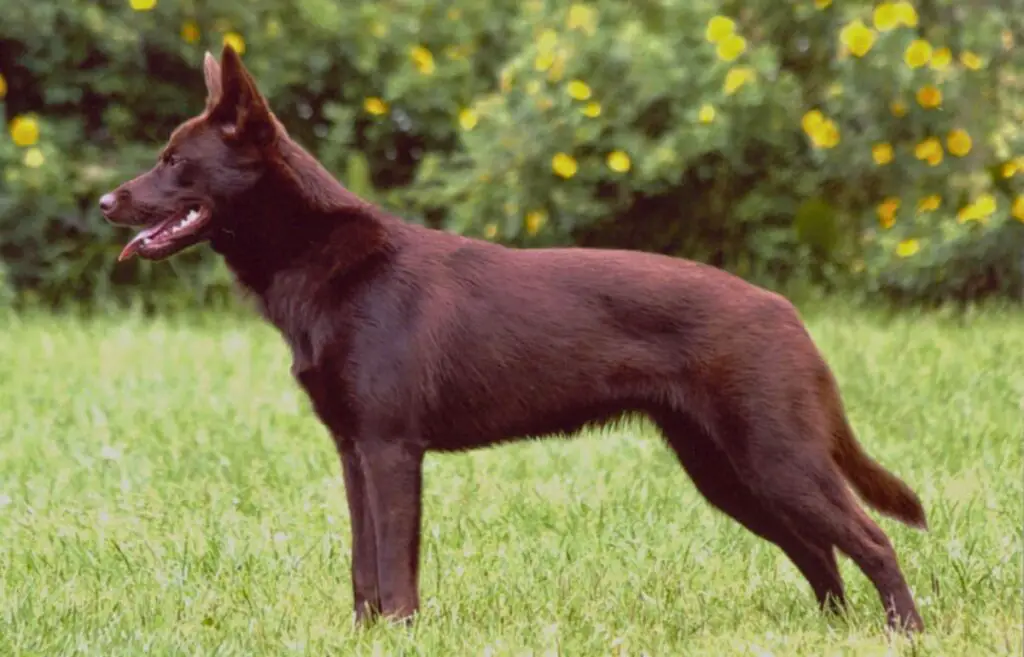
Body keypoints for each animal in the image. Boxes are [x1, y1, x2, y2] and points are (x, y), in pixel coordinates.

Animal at [101, 46, 929, 630]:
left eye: (175, 162)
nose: (106, 201)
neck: (327, 263)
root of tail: (786, 312)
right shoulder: (353, 451)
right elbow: (363, 569)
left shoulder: (392, 450)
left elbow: (394, 572)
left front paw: (401, 635)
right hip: (728, 470)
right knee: (820, 551)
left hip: (775, 457)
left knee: (872, 540)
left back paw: (906, 632)